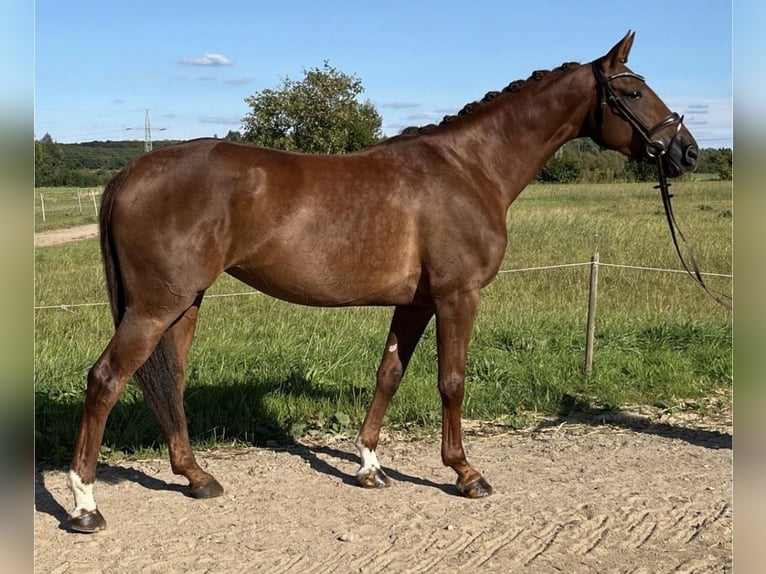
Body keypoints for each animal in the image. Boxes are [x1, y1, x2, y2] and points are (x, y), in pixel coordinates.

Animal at [69, 31, 700, 532]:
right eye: (634, 92)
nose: (688, 153)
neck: (469, 169)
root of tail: (132, 170)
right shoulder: (457, 296)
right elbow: (451, 382)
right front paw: (465, 473)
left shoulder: (415, 303)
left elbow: (390, 374)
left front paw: (370, 465)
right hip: (155, 306)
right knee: (105, 380)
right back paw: (84, 505)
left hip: (182, 305)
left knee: (168, 383)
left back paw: (197, 477)